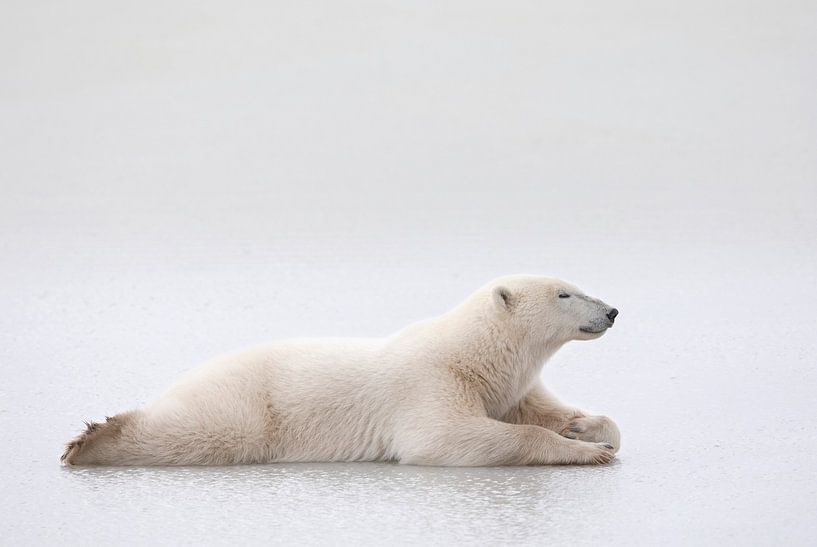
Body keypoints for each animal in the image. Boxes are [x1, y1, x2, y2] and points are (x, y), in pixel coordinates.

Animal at [62, 276, 620, 468]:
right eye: (565, 292)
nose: (612, 310)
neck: (476, 355)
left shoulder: (507, 388)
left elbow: (543, 410)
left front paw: (583, 429)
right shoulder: (431, 382)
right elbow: (444, 437)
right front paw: (586, 451)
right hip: (247, 405)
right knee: (204, 433)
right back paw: (94, 441)